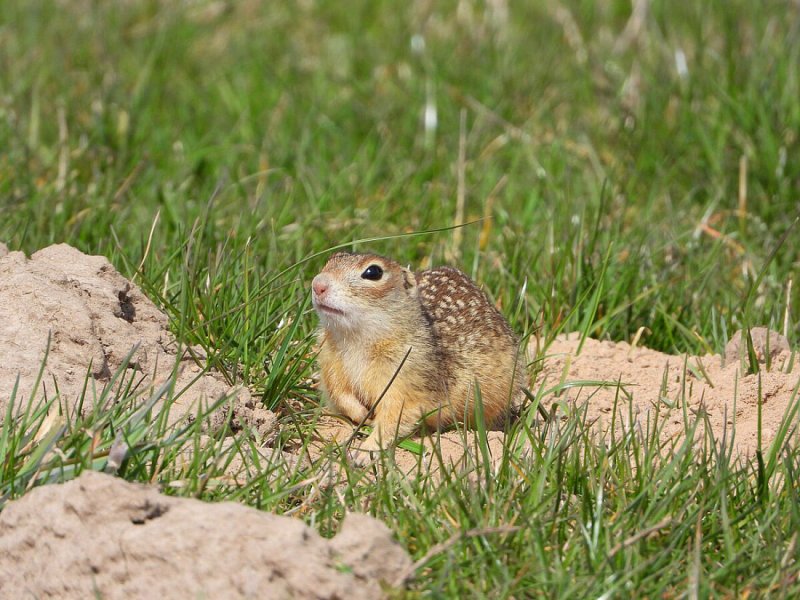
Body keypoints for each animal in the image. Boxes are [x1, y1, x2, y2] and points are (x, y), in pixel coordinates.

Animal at [312, 251, 524, 458]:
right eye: (331, 259)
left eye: (373, 272)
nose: (317, 285)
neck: (356, 339)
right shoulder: (330, 362)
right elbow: (339, 392)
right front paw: (362, 414)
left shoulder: (407, 375)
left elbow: (395, 415)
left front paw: (367, 449)